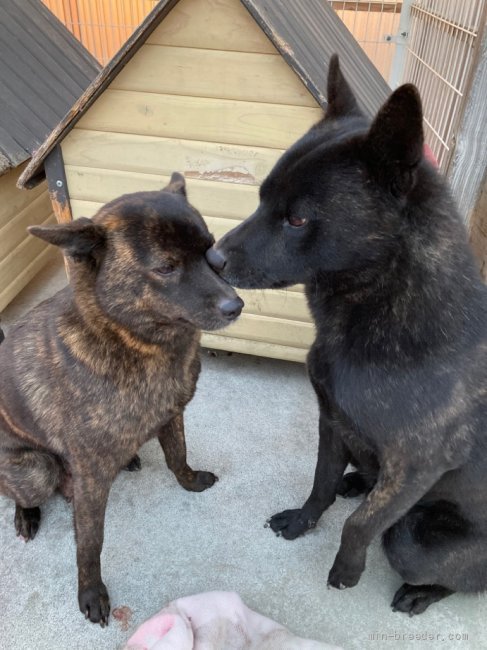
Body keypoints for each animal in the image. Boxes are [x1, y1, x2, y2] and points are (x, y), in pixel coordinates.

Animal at [0, 172, 244, 624]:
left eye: (211, 253)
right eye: (165, 267)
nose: (235, 305)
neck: (131, 339)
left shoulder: (172, 415)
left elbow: (177, 456)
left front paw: (190, 481)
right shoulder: (92, 479)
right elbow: (90, 544)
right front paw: (91, 592)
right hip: (36, 468)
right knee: (17, 490)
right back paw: (26, 515)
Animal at [209, 57, 487, 612]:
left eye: (298, 218)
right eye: (261, 198)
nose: (212, 257)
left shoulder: (416, 467)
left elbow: (361, 525)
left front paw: (346, 569)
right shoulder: (332, 421)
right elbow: (320, 481)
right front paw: (303, 520)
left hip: (417, 539)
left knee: (455, 574)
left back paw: (421, 593)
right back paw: (356, 480)